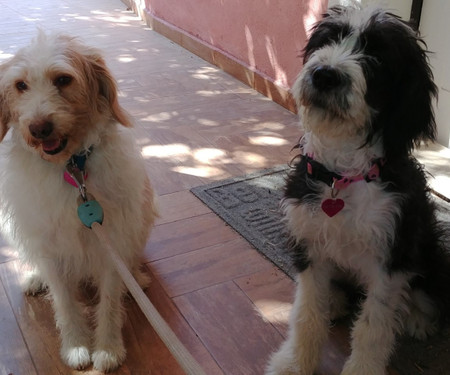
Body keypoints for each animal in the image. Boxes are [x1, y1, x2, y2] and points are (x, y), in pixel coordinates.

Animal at [0, 32, 158, 374]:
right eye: (20, 85)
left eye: (63, 79)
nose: (39, 128)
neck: (71, 169)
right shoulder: (50, 245)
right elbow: (64, 301)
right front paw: (74, 345)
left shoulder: (112, 241)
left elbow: (109, 300)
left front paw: (108, 347)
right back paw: (35, 278)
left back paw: (136, 277)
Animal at [268, 5, 450, 375]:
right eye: (329, 39)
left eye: (377, 58)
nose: (325, 75)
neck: (343, 175)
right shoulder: (309, 245)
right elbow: (307, 313)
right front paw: (295, 363)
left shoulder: (391, 259)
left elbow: (373, 327)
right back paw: (336, 301)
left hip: (426, 247)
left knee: (427, 290)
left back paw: (418, 317)